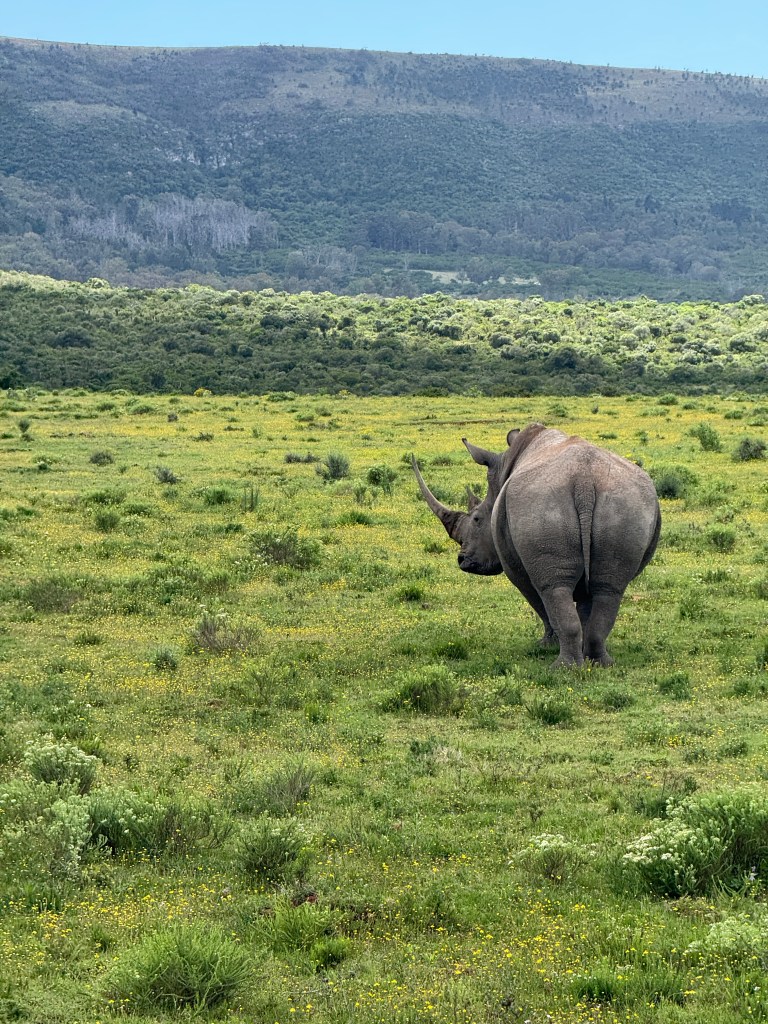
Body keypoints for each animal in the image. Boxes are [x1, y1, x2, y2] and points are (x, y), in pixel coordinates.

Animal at [412, 423, 661, 667]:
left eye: (477, 519)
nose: (462, 560)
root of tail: (584, 480)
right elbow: (584, 606)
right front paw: (579, 647)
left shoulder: (515, 565)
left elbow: (539, 601)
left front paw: (546, 644)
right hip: (625, 504)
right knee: (609, 587)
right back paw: (601, 664)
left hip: (541, 504)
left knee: (553, 587)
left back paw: (564, 668)